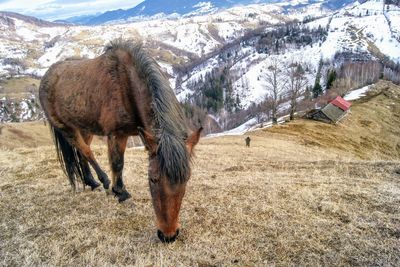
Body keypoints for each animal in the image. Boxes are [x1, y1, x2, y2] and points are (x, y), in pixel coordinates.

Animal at [39, 38, 202, 244]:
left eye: (186, 179)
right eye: (152, 179)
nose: (168, 235)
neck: (127, 83)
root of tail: (47, 76)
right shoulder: (117, 134)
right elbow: (118, 163)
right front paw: (120, 192)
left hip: (85, 127)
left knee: (82, 152)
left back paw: (91, 181)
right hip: (66, 128)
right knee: (85, 150)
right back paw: (103, 181)